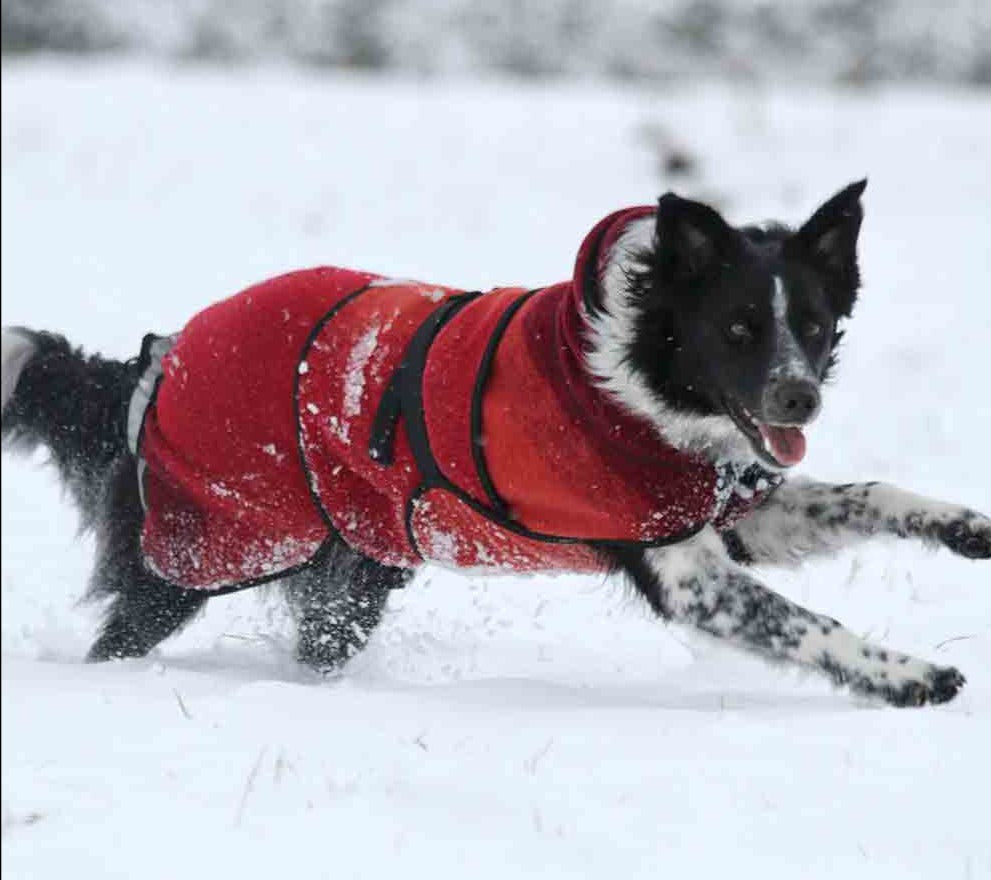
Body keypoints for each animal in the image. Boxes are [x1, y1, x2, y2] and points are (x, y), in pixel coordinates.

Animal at [3, 180, 988, 708]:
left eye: (813, 326)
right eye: (739, 328)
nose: (800, 396)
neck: (629, 376)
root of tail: (157, 358)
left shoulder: (723, 512)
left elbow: (869, 493)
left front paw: (963, 525)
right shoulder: (687, 571)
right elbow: (811, 626)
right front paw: (909, 674)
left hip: (350, 571)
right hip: (208, 553)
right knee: (119, 636)